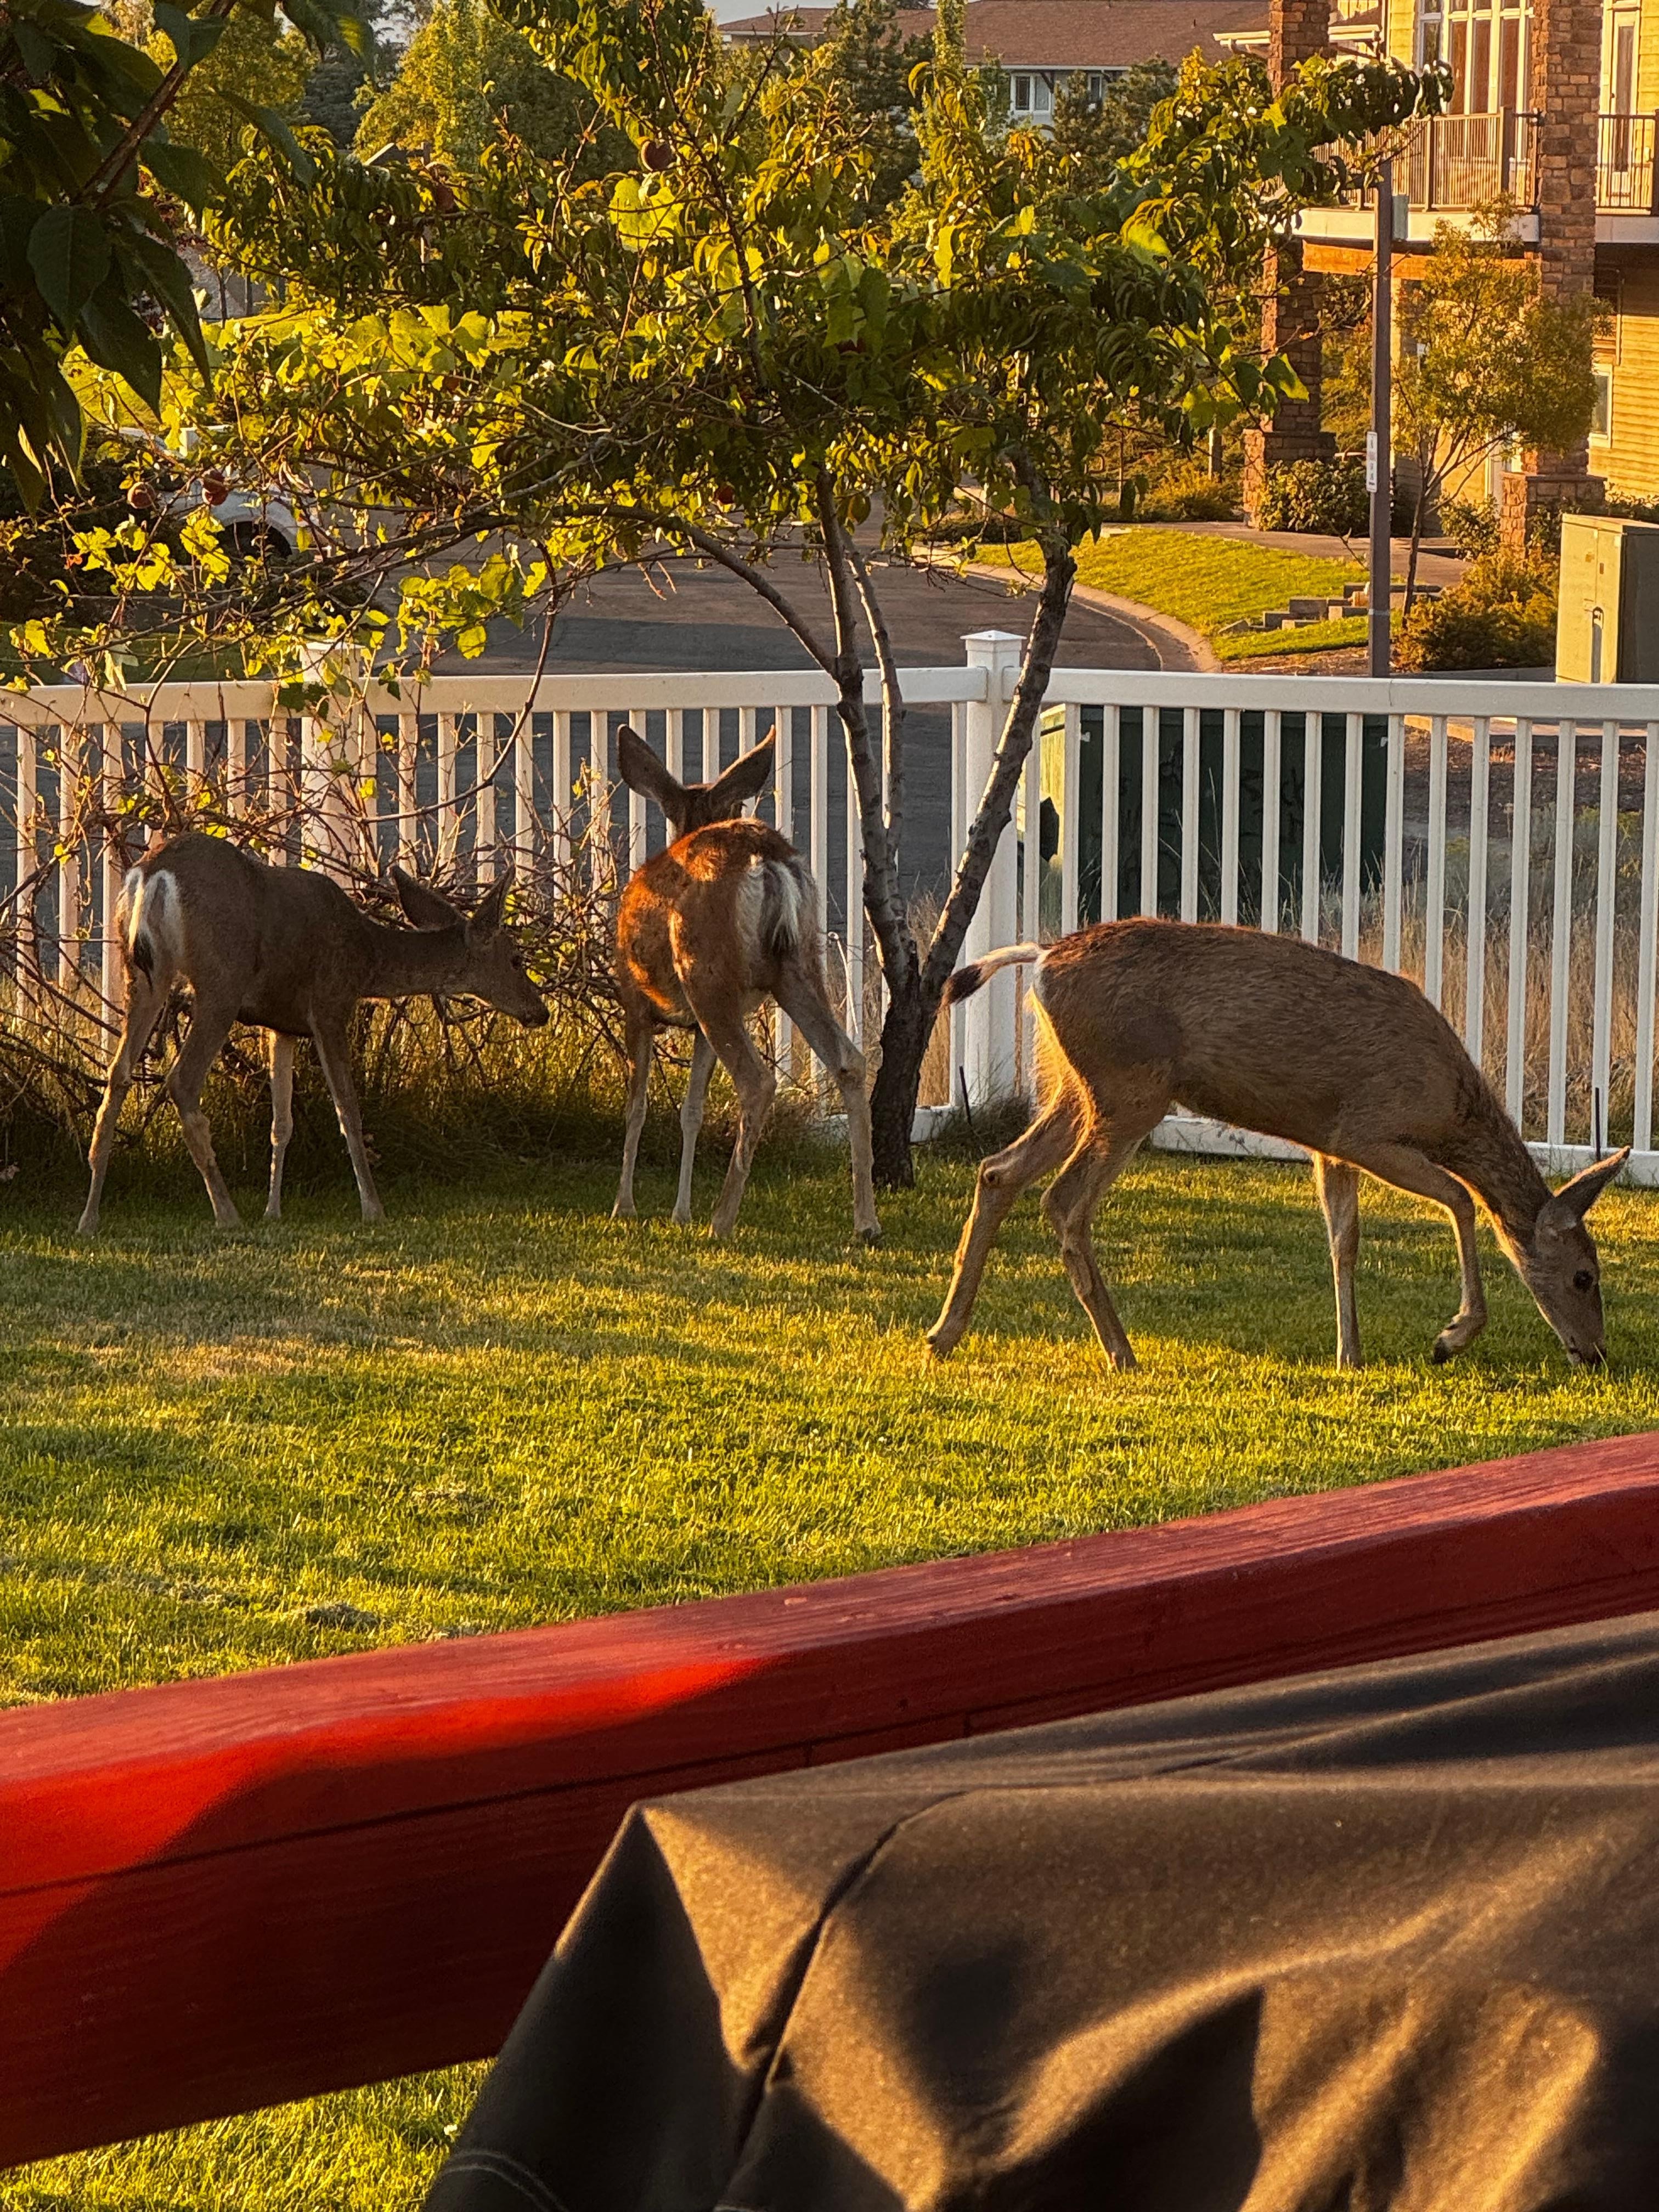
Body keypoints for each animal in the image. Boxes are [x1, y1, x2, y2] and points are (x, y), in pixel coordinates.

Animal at [78, 831, 548, 1235]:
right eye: (516, 959)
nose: (540, 1012)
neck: (367, 957)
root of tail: (151, 875)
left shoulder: (280, 1026)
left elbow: (281, 1123)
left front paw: (273, 1211)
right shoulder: (329, 1005)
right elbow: (349, 1111)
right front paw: (373, 1208)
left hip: (141, 974)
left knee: (118, 1075)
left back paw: (90, 1215)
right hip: (220, 979)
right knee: (182, 1080)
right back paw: (227, 1214)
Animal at [609, 725, 880, 1243]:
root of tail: (766, 861)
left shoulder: (635, 1000)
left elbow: (637, 1105)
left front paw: (624, 1207)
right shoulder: (696, 1029)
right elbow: (691, 1110)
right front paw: (679, 1212)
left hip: (707, 975)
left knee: (757, 1080)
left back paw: (721, 1220)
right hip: (799, 965)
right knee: (849, 1061)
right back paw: (866, 1222)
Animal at [927, 919, 1627, 1374]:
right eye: (1584, 1275)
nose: (1595, 1353)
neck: (1451, 1107)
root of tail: (1043, 957)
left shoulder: (1329, 1145)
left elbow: (1343, 1239)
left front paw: (1350, 1356)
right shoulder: (1367, 1130)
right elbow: (1460, 1199)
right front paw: (1449, 1337)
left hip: (1078, 1084)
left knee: (999, 1171)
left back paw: (945, 1333)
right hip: (1130, 1088)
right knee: (1065, 1201)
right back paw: (1122, 1353)